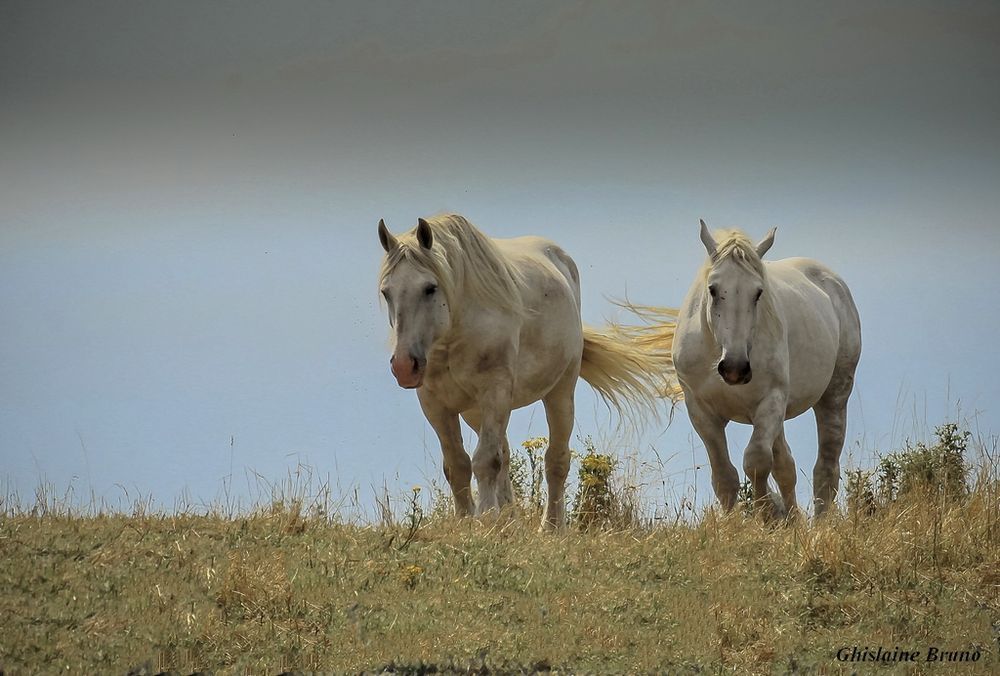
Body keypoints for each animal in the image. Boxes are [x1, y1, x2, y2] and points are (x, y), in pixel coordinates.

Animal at [376, 214, 680, 524]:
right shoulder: (435, 404)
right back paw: (510, 518)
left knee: (555, 459)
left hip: (560, 392)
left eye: (430, 288)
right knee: (505, 456)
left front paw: (486, 519)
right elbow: (458, 465)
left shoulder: (495, 391)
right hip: (475, 411)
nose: (404, 365)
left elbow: (486, 461)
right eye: (387, 292)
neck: (457, 329)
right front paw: (466, 522)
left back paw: (551, 525)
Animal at [676, 222, 864, 516]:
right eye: (713, 289)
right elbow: (725, 476)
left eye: (758, 292)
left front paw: (766, 516)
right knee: (786, 465)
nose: (735, 368)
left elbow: (756, 462)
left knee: (826, 468)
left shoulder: (770, 401)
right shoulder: (701, 411)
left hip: (833, 396)